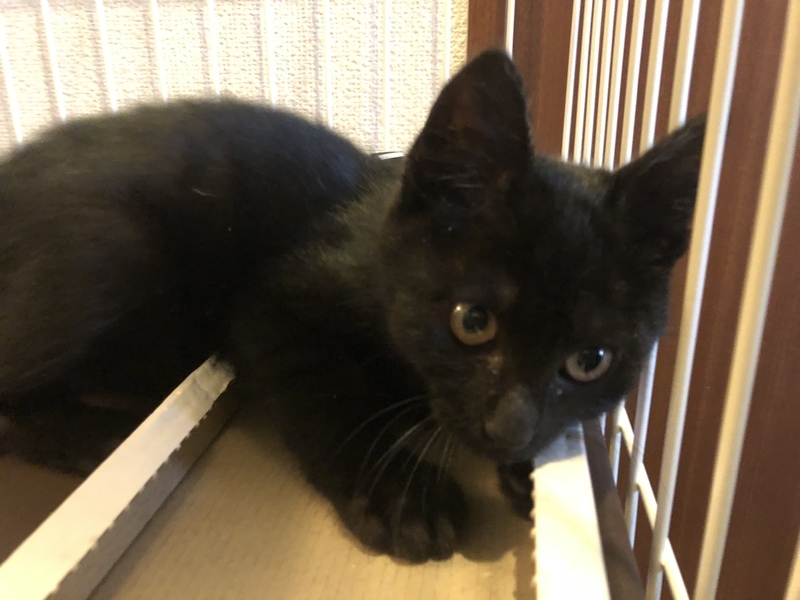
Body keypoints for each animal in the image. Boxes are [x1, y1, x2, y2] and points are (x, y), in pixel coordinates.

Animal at [0, 49, 705, 562]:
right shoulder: (270, 305)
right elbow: (330, 391)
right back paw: (91, 434)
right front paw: (403, 498)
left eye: (591, 360)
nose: (510, 430)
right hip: (112, 244)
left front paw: (537, 477)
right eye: (473, 323)